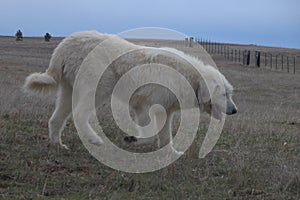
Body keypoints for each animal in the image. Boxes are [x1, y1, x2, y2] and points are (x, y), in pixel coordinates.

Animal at [23, 31, 237, 149]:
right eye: (224, 94)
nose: (235, 110)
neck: (191, 78)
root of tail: (65, 44)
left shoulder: (161, 110)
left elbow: (164, 137)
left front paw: (169, 154)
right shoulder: (147, 106)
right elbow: (150, 134)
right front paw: (133, 140)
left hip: (68, 91)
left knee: (56, 119)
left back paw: (57, 144)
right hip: (99, 88)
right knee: (79, 115)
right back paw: (94, 139)